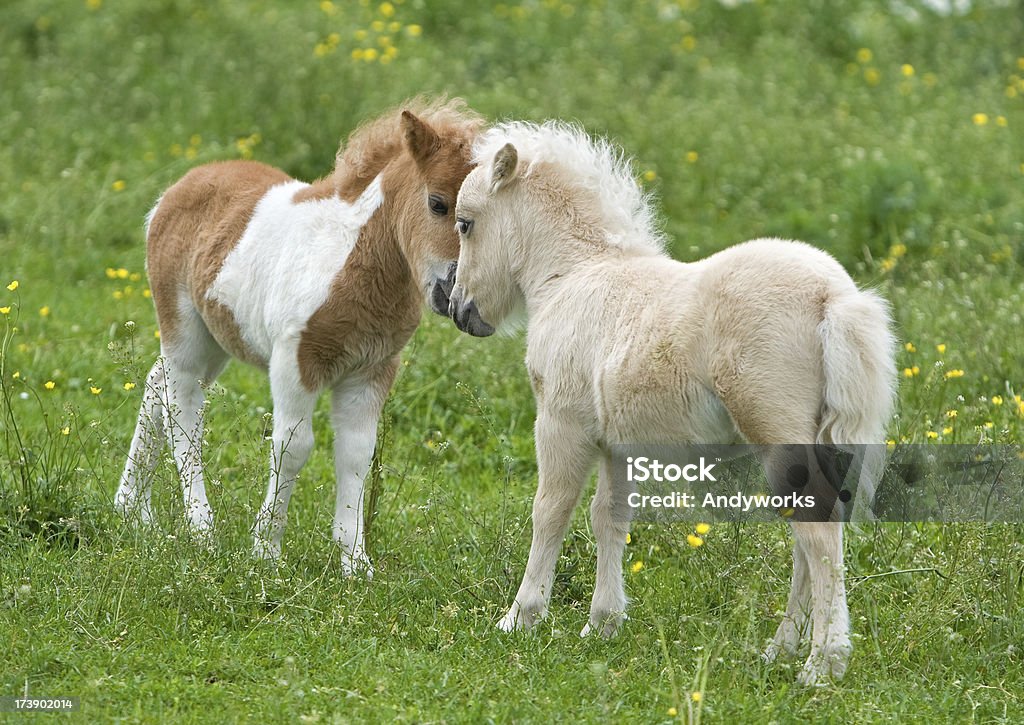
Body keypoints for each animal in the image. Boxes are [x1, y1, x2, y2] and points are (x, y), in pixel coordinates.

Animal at [116, 99, 483, 573]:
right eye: (437, 204)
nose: (456, 295)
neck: (353, 261)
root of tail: (175, 189)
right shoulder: (295, 360)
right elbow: (293, 447)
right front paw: (265, 551)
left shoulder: (372, 370)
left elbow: (356, 454)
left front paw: (355, 563)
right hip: (183, 329)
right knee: (183, 408)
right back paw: (201, 530)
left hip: (217, 338)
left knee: (155, 385)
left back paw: (132, 511)